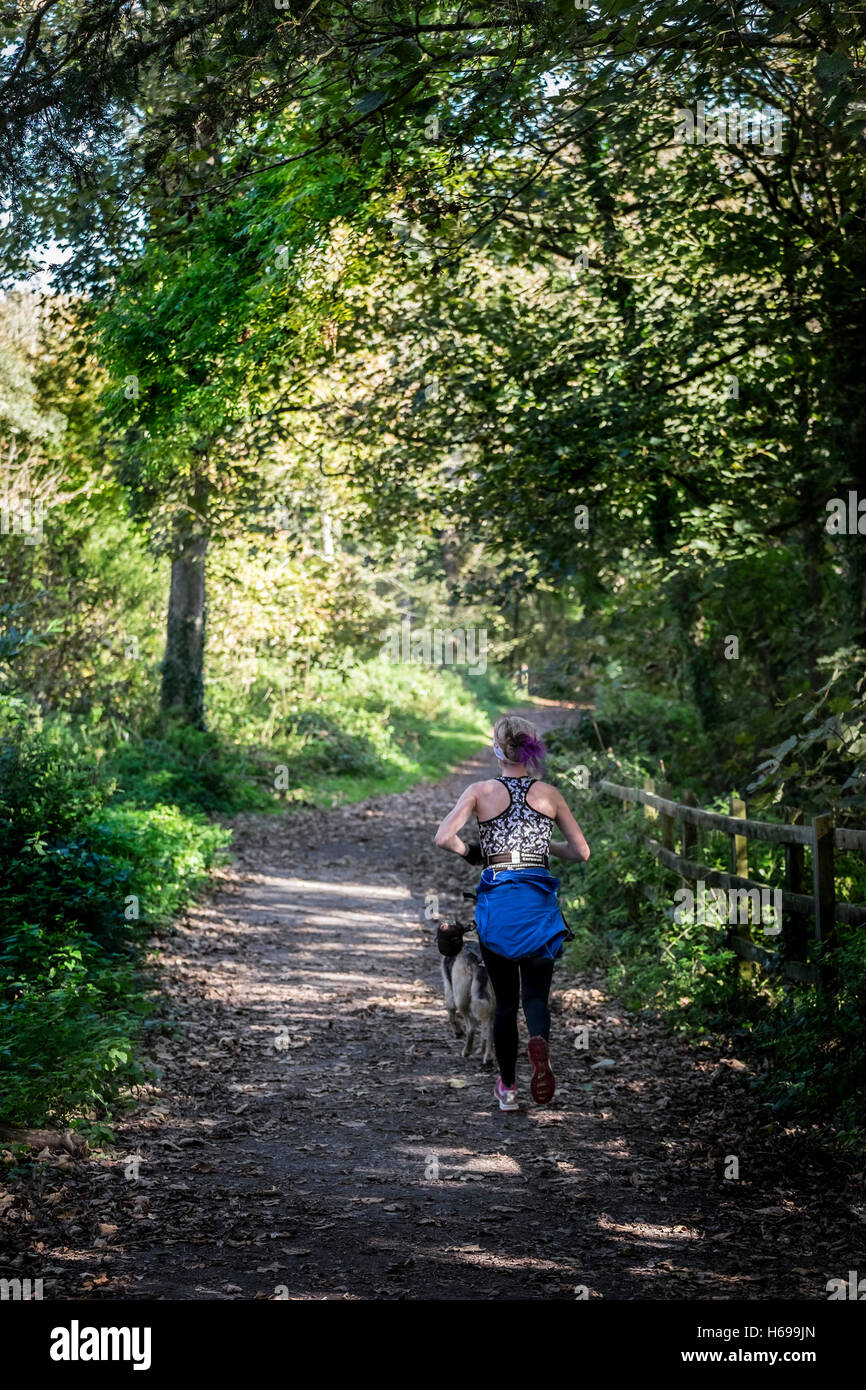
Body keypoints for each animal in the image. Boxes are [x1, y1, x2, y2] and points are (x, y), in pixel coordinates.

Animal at [444, 939, 497, 1067]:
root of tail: (478, 964)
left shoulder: (449, 990)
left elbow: (451, 1016)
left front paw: (458, 1031)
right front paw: (482, 1049)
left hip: (461, 1000)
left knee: (471, 1028)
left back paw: (467, 1051)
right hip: (492, 1003)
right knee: (489, 1029)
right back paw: (488, 1056)